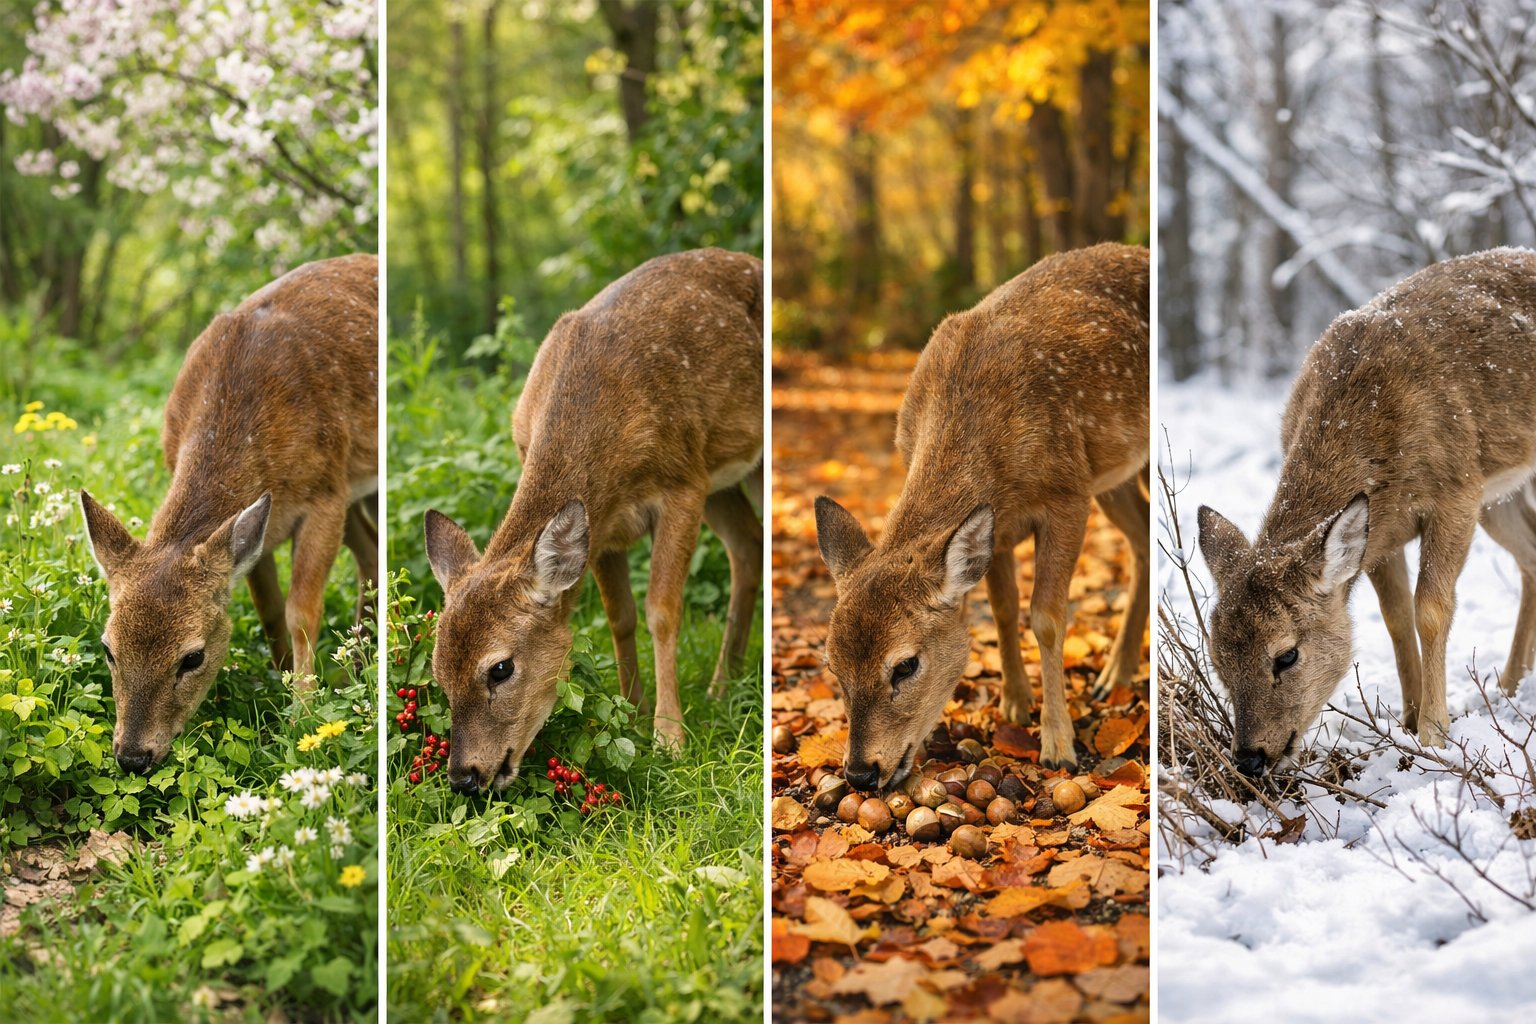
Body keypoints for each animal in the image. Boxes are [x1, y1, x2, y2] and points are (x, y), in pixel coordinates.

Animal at [80, 254, 378, 775]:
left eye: (193, 657)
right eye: (107, 648)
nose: (134, 755)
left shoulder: (325, 495)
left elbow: (301, 612)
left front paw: (303, 718)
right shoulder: (260, 530)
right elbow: (269, 610)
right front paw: (282, 684)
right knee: (371, 549)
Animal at [424, 247, 763, 795]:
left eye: (500, 668)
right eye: (438, 676)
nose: (465, 777)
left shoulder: (683, 483)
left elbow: (661, 611)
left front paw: (670, 738)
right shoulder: (603, 527)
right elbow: (619, 617)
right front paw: (633, 715)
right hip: (724, 483)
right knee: (748, 544)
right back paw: (722, 684)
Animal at [814, 242, 1150, 784]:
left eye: (905, 665)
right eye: (832, 668)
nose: (861, 772)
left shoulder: (1067, 494)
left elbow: (1046, 617)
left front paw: (1057, 744)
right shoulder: (1000, 524)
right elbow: (1003, 608)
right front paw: (1014, 704)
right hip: (1114, 477)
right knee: (1141, 539)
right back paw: (1113, 675)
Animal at [1198, 247, 1536, 777]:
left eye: (1286, 655)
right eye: (1218, 659)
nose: (1250, 757)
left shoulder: (1458, 491)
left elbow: (1430, 608)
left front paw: (1435, 734)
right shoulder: (1382, 532)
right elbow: (1395, 615)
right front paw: (1407, 722)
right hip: (1501, 496)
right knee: (1531, 556)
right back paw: (1509, 685)